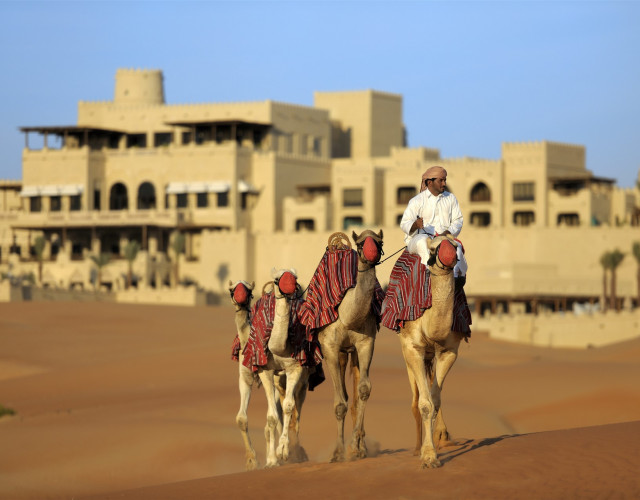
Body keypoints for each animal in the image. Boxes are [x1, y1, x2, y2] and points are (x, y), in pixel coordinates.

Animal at [314, 229, 382, 460]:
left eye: (379, 242)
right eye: (360, 243)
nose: (371, 254)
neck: (347, 314)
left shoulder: (365, 343)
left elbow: (364, 390)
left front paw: (356, 446)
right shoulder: (330, 348)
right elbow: (339, 404)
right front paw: (337, 453)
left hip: (351, 352)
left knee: (354, 395)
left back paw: (360, 446)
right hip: (339, 353)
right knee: (343, 396)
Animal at [396, 234, 464, 468]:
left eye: (455, 245)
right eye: (434, 248)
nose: (450, 257)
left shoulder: (449, 351)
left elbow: (435, 401)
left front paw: (433, 451)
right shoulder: (413, 348)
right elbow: (425, 404)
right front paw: (426, 456)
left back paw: (442, 436)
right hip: (407, 354)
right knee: (415, 400)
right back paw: (417, 448)